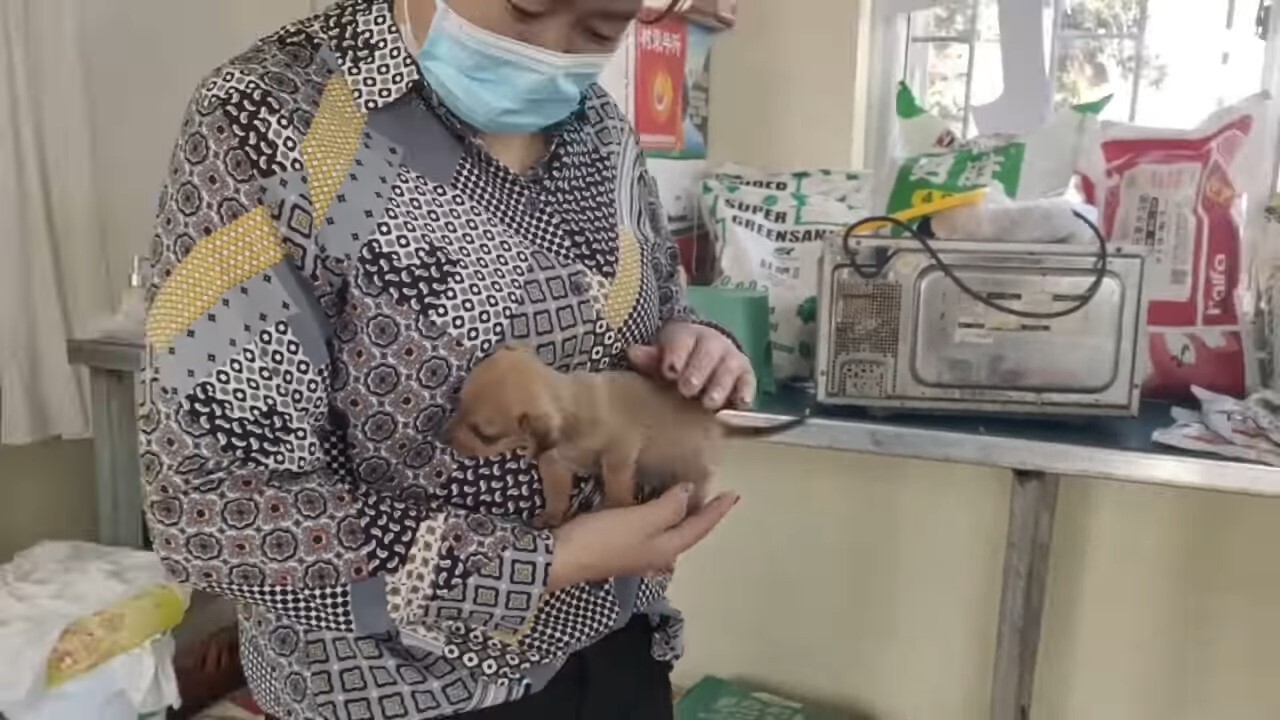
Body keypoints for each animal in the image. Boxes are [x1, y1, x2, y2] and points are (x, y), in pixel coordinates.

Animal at [442, 345, 798, 525]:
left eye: (483, 433)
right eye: (458, 402)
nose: (444, 435)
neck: (572, 407)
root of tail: (717, 423)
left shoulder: (620, 451)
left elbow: (615, 478)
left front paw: (617, 505)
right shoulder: (554, 464)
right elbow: (556, 493)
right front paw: (552, 516)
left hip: (694, 467)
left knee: (700, 483)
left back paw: (693, 506)